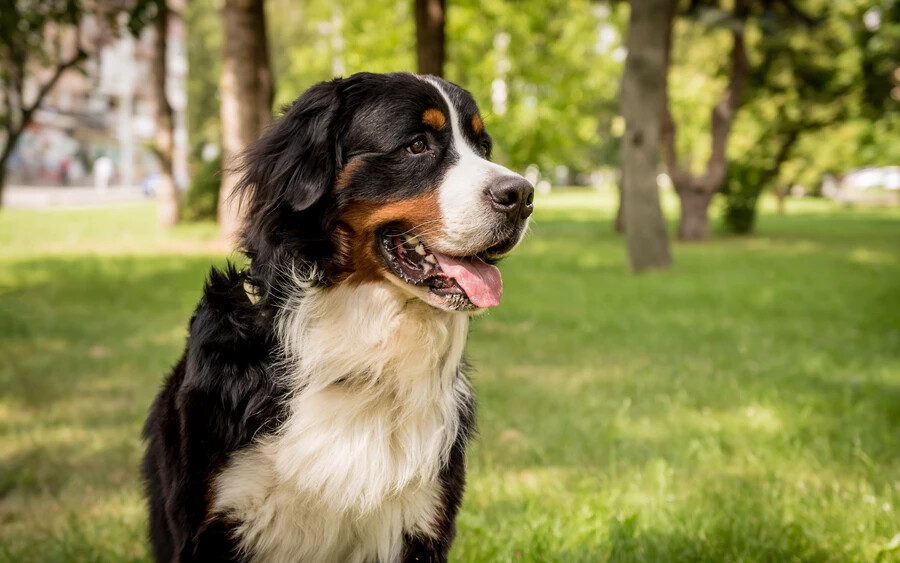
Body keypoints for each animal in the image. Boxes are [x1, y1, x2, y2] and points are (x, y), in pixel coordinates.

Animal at [142, 71, 536, 563]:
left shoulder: (418, 520)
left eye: (483, 147)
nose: (522, 195)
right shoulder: (212, 521)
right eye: (417, 144)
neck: (360, 348)